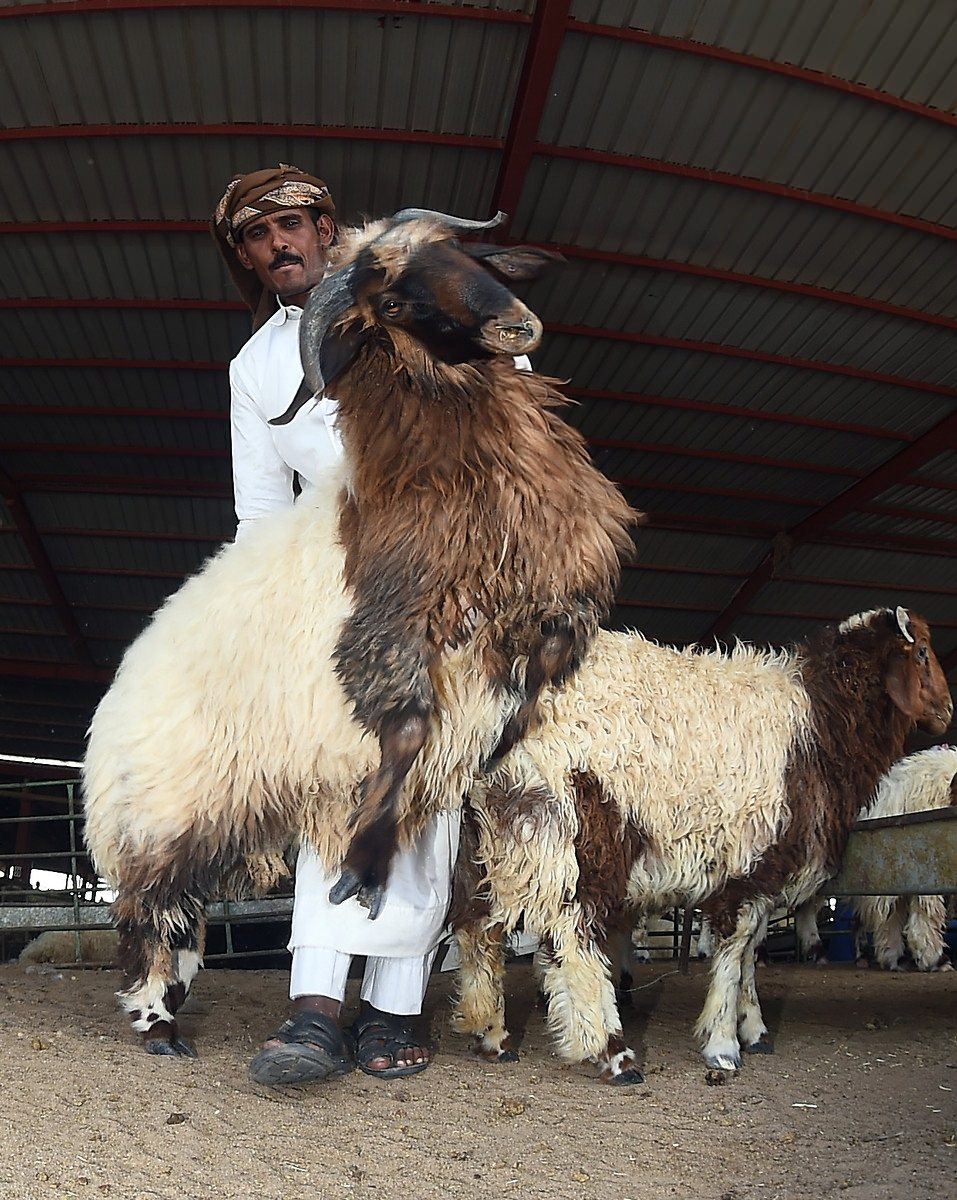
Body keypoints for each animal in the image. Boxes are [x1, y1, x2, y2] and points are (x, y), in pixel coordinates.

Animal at [82, 211, 638, 1056]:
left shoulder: (554, 594)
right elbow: (405, 733)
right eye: (394, 300)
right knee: (145, 914)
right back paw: (157, 1023)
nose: (516, 324)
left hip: (217, 812)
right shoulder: (381, 639)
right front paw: (363, 864)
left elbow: (529, 677)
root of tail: (113, 697)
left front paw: (500, 739)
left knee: (184, 918)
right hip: (157, 812)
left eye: (459, 254)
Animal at [453, 604, 954, 1084]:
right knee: (571, 932)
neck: (819, 717)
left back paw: (492, 1035)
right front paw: (723, 1045)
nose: (947, 710)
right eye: (922, 651)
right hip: (571, 827)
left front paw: (754, 1030)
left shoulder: (762, 870)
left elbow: (750, 952)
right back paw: (613, 1052)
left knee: (479, 930)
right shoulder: (748, 861)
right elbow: (734, 951)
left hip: (489, 839)